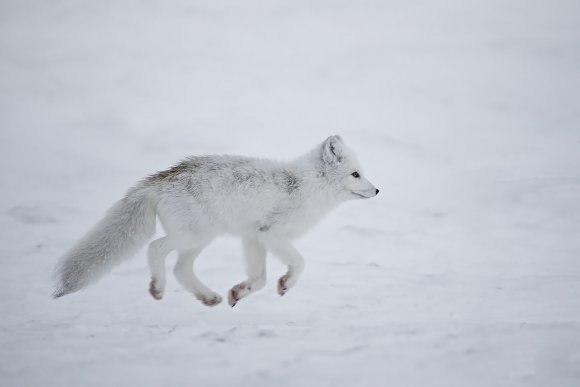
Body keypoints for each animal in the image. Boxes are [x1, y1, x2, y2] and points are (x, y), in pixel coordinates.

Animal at [52, 136, 378, 310]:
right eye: (356, 174)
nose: (377, 191)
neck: (305, 184)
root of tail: (161, 178)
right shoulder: (271, 234)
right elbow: (299, 263)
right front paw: (285, 283)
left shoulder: (253, 237)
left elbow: (258, 280)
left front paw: (239, 293)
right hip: (194, 236)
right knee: (156, 249)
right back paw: (158, 289)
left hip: (199, 241)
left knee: (181, 269)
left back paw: (208, 297)